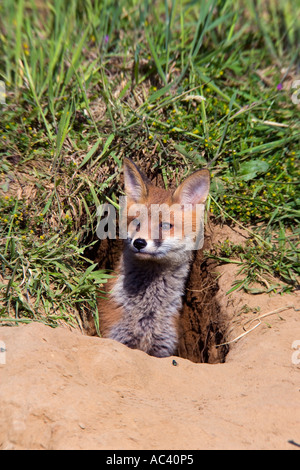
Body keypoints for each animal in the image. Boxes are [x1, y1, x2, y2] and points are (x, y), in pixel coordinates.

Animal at [97, 158, 210, 356]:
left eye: (165, 225)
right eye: (136, 222)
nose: (139, 243)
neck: (146, 313)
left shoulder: (162, 349)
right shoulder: (113, 335)